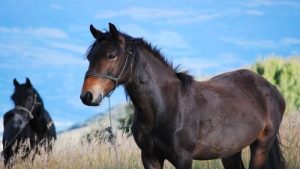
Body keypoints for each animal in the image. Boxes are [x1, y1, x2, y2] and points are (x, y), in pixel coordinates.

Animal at [79, 22, 286, 169]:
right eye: (89, 57)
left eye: (111, 55)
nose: (87, 96)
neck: (164, 106)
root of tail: (271, 88)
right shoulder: (150, 157)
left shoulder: (183, 159)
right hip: (230, 152)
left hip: (261, 146)